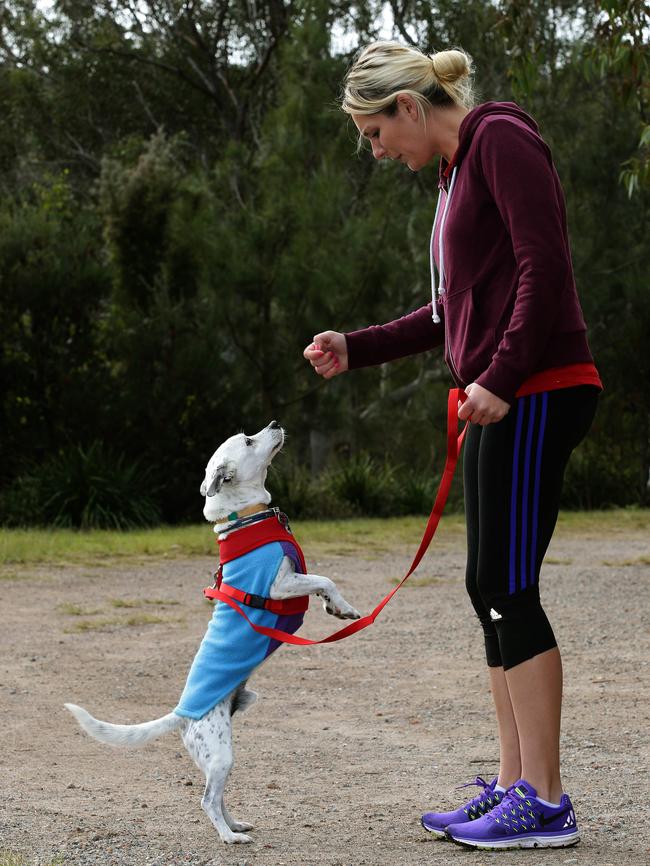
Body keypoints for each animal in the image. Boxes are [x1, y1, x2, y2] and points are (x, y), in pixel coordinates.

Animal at [64, 422, 360, 840]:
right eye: (249, 441)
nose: (274, 424)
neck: (246, 516)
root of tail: (181, 715)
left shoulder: (294, 581)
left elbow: (322, 584)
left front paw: (335, 607)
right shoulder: (279, 586)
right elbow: (325, 578)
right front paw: (344, 607)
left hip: (220, 757)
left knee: (219, 797)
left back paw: (236, 824)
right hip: (220, 754)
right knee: (206, 799)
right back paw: (230, 837)